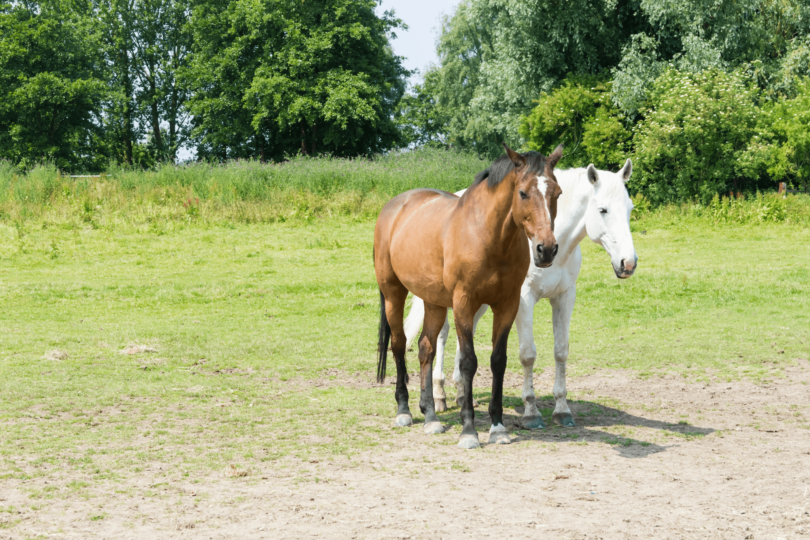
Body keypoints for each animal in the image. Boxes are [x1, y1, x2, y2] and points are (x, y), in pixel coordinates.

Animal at [374, 142, 560, 448]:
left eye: (557, 193)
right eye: (523, 192)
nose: (546, 250)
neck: (488, 236)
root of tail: (395, 206)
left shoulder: (506, 305)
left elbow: (498, 361)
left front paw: (498, 427)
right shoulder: (463, 303)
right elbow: (468, 363)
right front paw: (469, 430)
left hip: (434, 302)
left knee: (425, 348)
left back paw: (430, 416)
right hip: (393, 293)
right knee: (399, 344)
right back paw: (404, 410)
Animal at [408, 160, 636, 426]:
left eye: (629, 208)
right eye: (603, 210)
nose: (628, 263)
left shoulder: (565, 296)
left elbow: (561, 351)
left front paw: (562, 410)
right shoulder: (523, 299)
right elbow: (528, 354)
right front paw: (531, 412)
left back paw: (462, 395)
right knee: (442, 335)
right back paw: (439, 396)